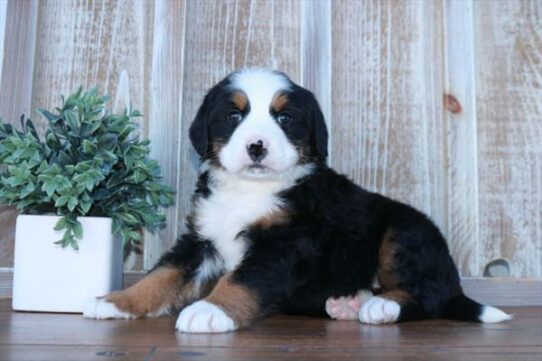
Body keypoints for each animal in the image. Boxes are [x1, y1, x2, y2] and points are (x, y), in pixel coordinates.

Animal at [85, 67, 516, 332]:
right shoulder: (202, 240)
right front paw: (115, 301)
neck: (250, 190)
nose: (257, 146)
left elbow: (240, 279)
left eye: (285, 118)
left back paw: (380, 307)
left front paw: (209, 310)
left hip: (403, 232)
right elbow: (161, 276)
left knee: (428, 296)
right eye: (234, 116)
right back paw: (347, 304)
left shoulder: (284, 242)